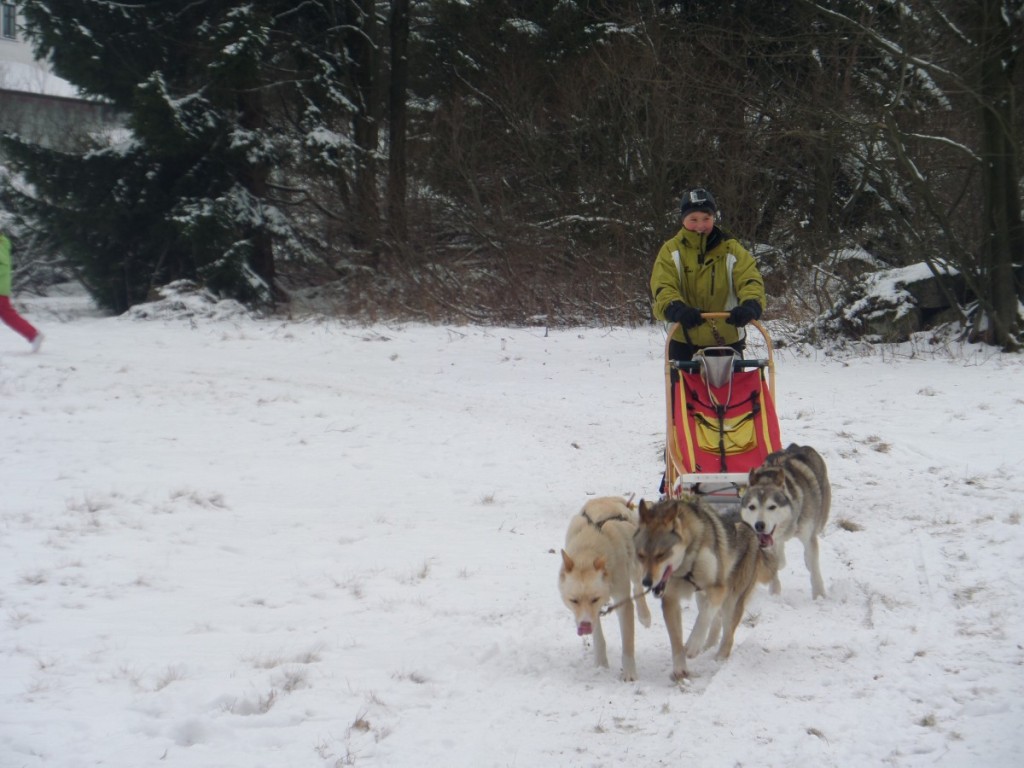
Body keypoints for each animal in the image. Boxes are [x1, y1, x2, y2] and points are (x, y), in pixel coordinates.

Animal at [557, 499, 651, 684]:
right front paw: (601, 664)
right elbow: (598, 637)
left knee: (637, 584)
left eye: (595, 599)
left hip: (635, 563)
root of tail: (609, 498)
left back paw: (644, 615)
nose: (584, 626)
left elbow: (628, 642)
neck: (589, 548)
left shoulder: (622, 601)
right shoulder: (591, 614)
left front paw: (629, 672)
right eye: (574, 600)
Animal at [737, 444, 831, 602]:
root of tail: (798, 446)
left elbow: (814, 568)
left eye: (772, 507)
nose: (759, 525)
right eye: (752, 507)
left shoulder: (809, 536)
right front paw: (774, 593)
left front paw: (819, 595)